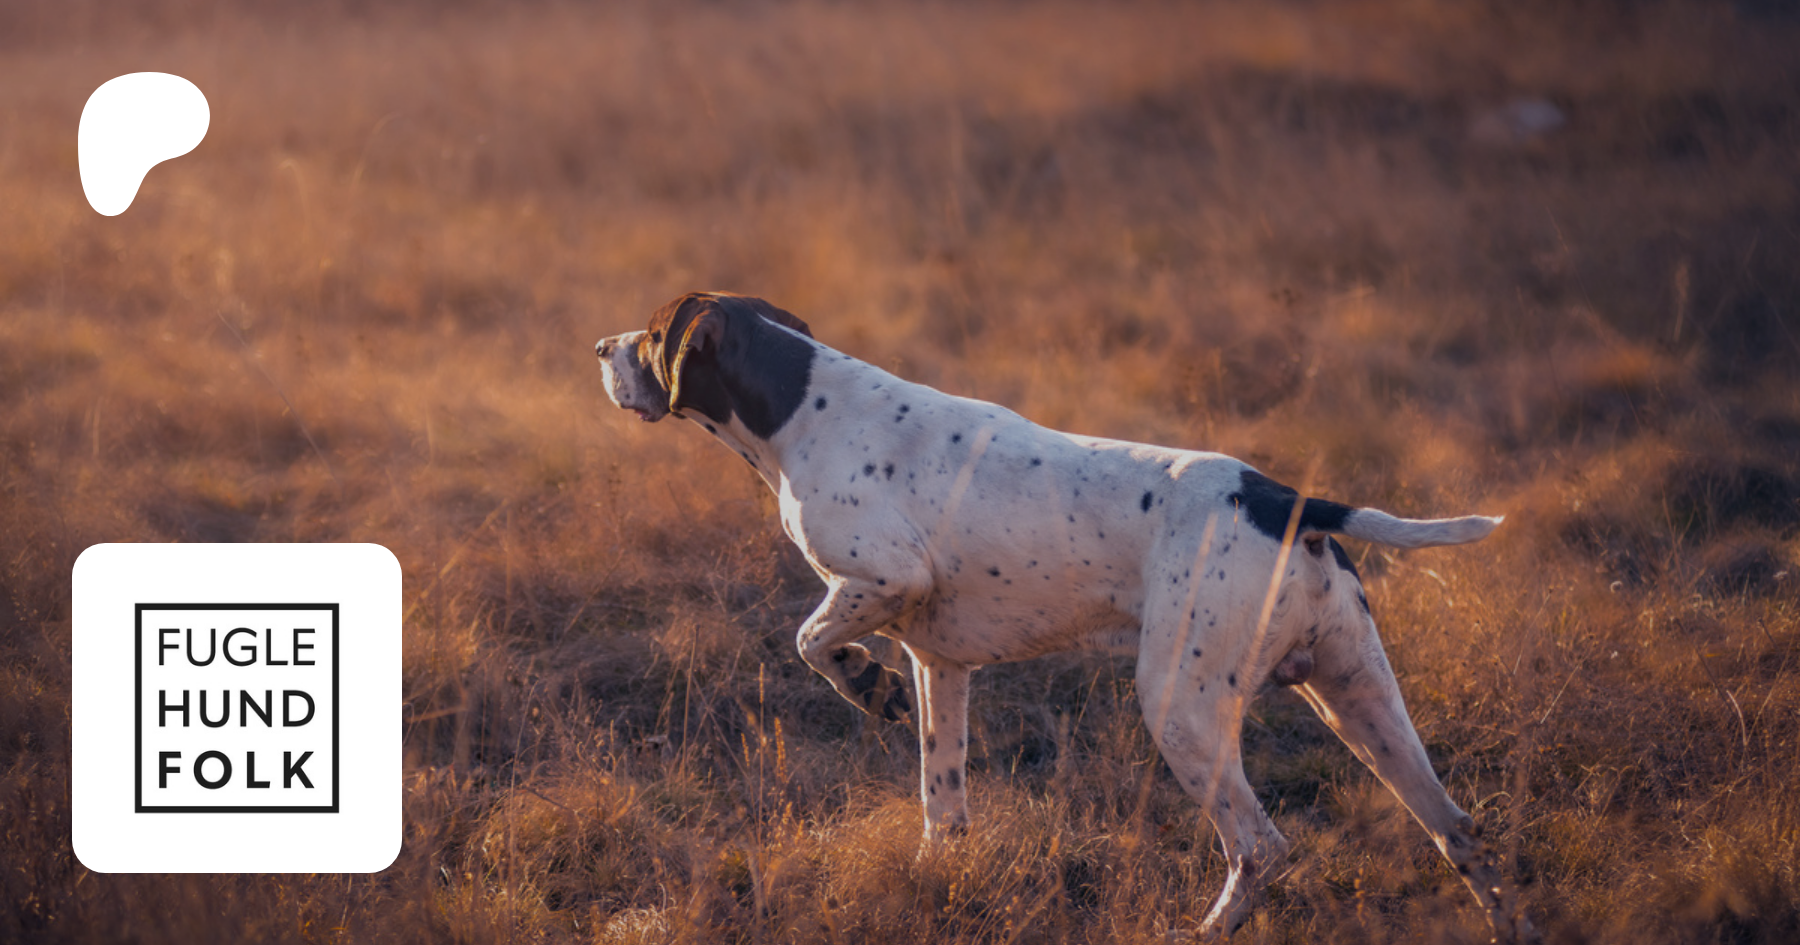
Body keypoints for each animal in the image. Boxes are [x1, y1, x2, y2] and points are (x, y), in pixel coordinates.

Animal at [596, 292, 1536, 941]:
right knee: (1461, 832)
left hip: (1181, 706)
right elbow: (943, 802)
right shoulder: (941, 663)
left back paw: (1204, 929)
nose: (599, 345)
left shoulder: (884, 575)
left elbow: (810, 639)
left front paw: (864, 684)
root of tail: (1285, 498)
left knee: (1261, 846)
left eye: (650, 332)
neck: (803, 406)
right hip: (1360, 699)